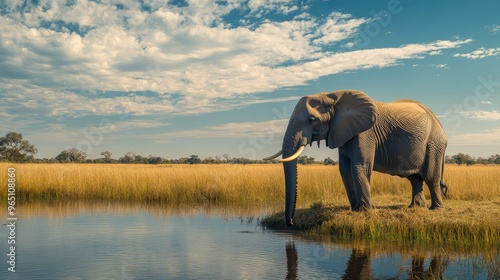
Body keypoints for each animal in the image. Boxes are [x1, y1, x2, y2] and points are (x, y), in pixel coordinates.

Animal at [266, 90, 450, 228]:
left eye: (312, 120)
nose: (290, 223)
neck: (333, 96)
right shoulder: (342, 132)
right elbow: (344, 170)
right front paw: (356, 209)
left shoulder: (365, 133)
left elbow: (359, 166)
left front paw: (365, 210)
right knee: (415, 178)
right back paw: (416, 208)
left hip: (434, 144)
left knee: (431, 178)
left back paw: (436, 210)